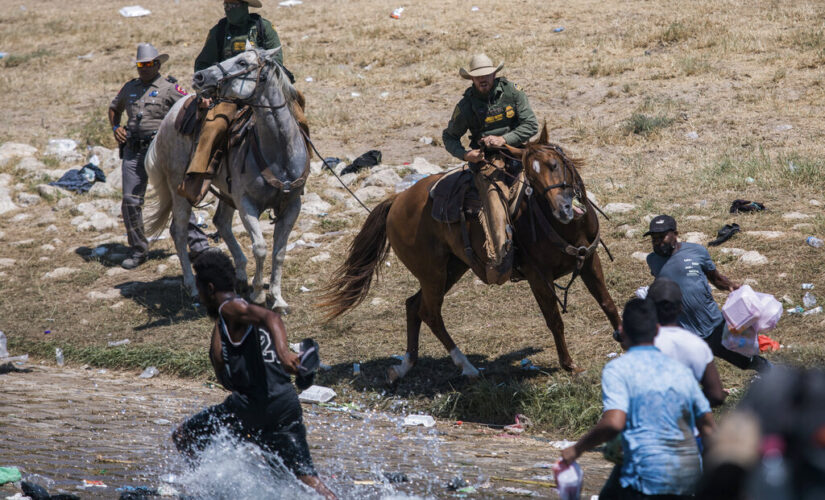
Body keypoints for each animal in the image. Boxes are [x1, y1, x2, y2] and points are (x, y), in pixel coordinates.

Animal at [144, 48, 306, 310]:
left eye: (242, 62)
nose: (199, 77)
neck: (279, 152)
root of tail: (170, 116)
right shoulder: (246, 203)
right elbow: (261, 247)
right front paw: (258, 294)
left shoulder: (292, 205)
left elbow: (279, 252)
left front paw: (278, 298)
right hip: (180, 189)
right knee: (178, 231)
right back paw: (192, 287)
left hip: (227, 192)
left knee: (220, 221)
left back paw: (239, 275)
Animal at [322, 125, 616, 382]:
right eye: (531, 178)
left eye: (555, 165)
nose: (563, 209)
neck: (565, 227)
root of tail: (396, 201)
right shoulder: (538, 277)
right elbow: (554, 320)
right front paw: (570, 365)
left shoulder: (590, 261)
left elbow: (608, 303)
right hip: (432, 274)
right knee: (430, 312)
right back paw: (467, 367)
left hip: (451, 269)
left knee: (413, 306)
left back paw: (404, 367)